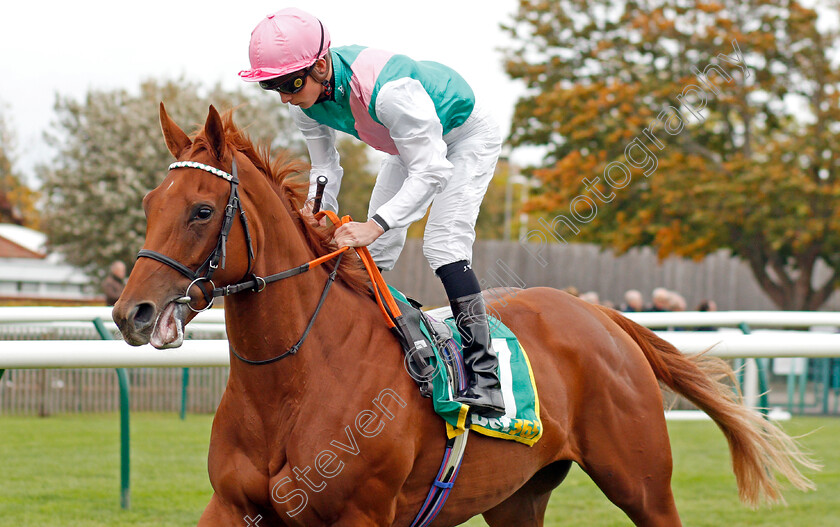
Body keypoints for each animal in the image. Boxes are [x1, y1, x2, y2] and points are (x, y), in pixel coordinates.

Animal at [111, 105, 812, 524]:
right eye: (148, 202)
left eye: (202, 210)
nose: (130, 312)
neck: (291, 382)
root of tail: (602, 318)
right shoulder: (232, 504)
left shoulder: (361, 514)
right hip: (518, 496)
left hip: (642, 481)